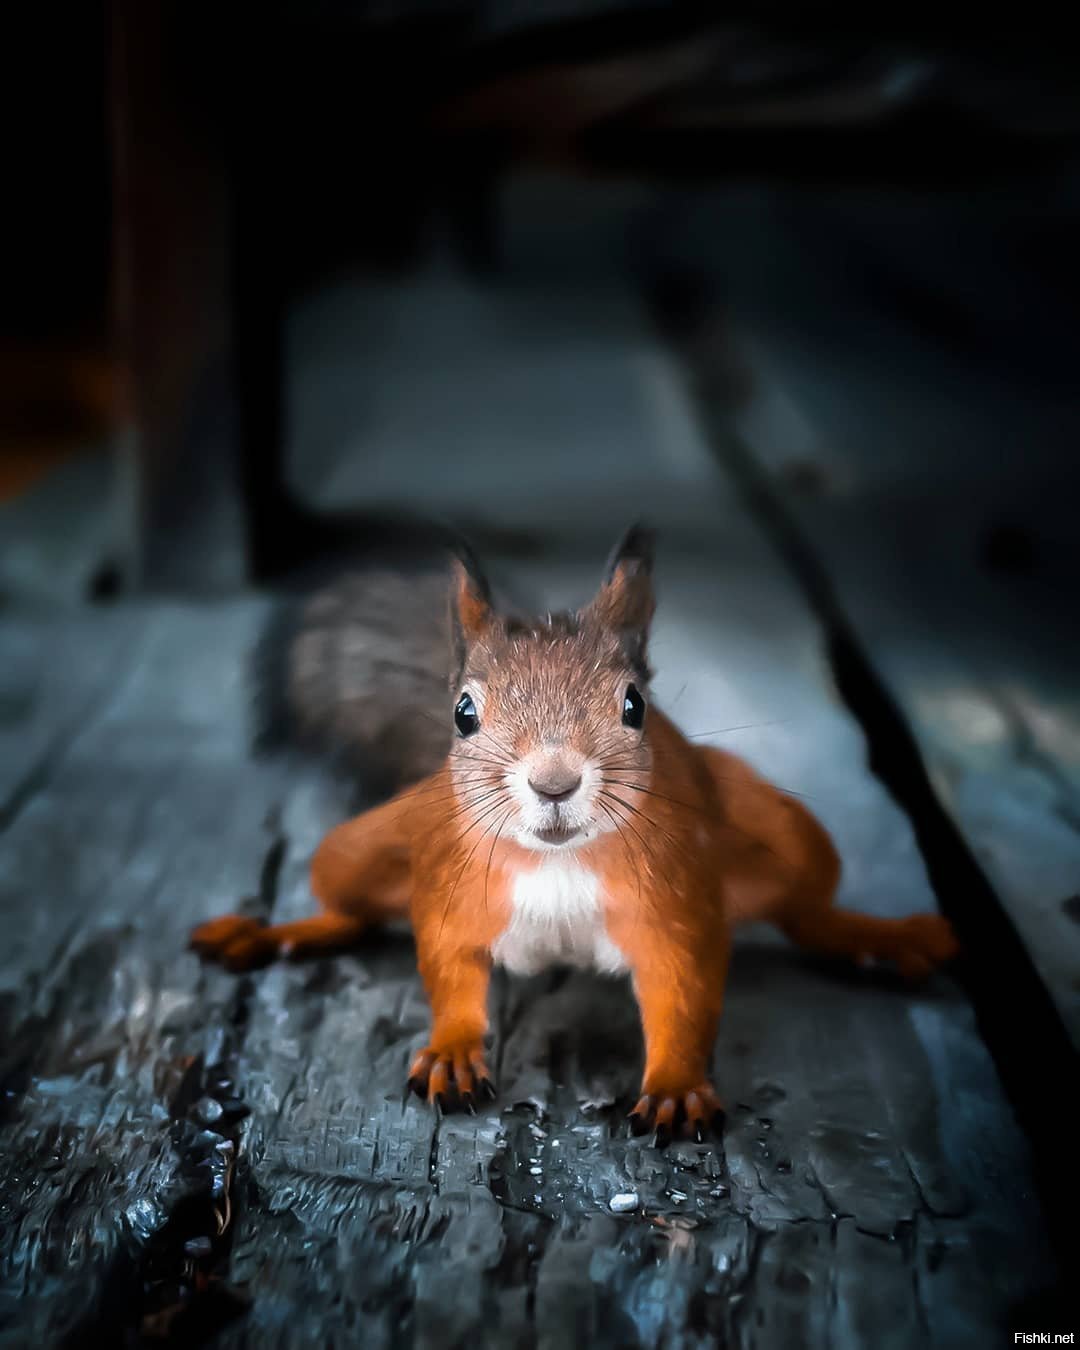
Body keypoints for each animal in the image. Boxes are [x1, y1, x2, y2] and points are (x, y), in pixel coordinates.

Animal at [190, 526, 955, 1139]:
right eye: (463, 713)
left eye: (634, 706)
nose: (554, 784)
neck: (556, 864)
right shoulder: (448, 888)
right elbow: (447, 966)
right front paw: (453, 1051)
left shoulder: (677, 904)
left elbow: (685, 991)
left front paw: (677, 1087)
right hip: (360, 845)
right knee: (348, 909)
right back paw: (271, 934)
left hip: (783, 831)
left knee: (805, 910)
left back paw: (880, 937)